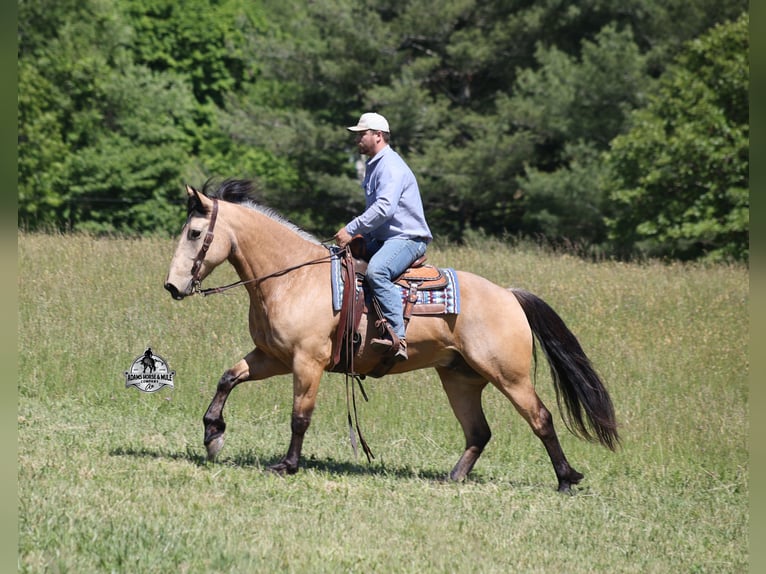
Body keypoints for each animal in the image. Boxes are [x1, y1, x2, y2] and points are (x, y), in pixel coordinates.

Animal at [164, 179, 619, 492]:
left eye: (193, 233)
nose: (172, 286)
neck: (293, 279)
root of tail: (509, 294)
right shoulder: (272, 357)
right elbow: (228, 377)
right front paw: (212, 434)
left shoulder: (307, 361)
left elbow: (300, 416)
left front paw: (287, 465)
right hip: (460, 378)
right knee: (479, 432)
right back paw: (453, 477)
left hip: (509, 375)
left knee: (540, 418)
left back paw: (566, 478)